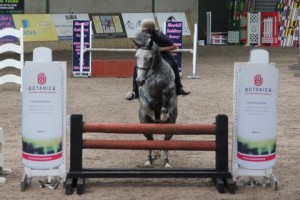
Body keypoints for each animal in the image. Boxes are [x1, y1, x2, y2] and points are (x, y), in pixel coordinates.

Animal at [134, 32, 178, 167]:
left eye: (149, 58)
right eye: (136, 56)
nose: (139, 80)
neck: (155, 72)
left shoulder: (171, 85)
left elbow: (166, 92)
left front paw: (162, 113)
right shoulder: (143, 90)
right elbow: (150, 100)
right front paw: (155, 110)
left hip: (171, 125)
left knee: (165, 143)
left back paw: (166, 162)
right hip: (145, 124)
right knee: (149, 140)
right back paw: (149, 160)